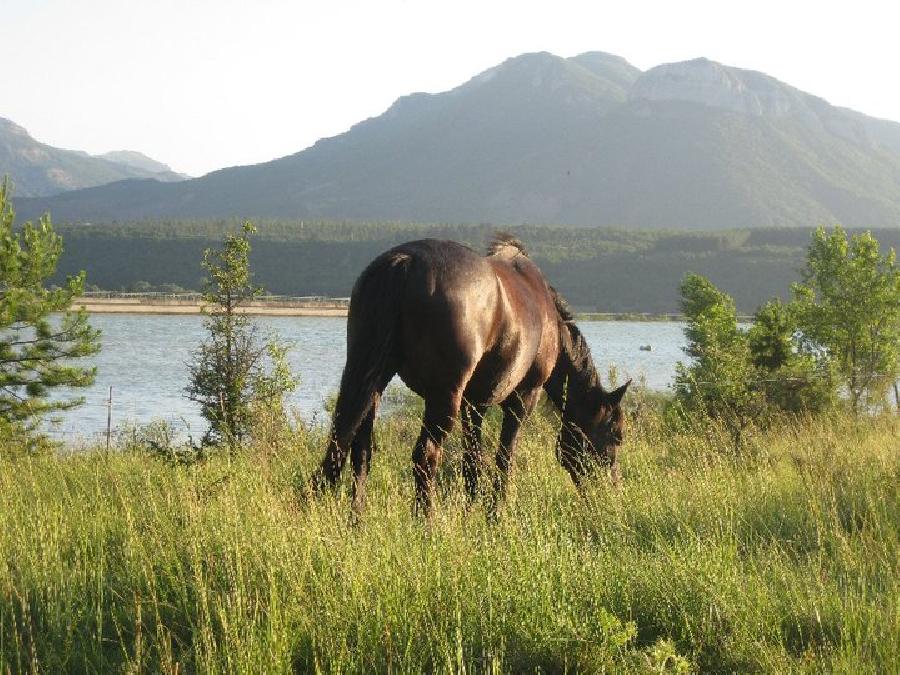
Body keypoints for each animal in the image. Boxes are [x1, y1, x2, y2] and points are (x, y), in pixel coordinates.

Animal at [312, 235, 628, 516]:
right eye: (616, 435)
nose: (611, 491)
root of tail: (404, 262)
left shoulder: (474, 403)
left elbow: (473, 462)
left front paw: (471, 512)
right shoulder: (524, 398)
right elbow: (504, 459)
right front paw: (495, 515)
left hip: (371, 382)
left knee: (355, 449)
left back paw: (356, 521)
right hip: (442, 399)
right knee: (425, 456)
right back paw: (426, 524)